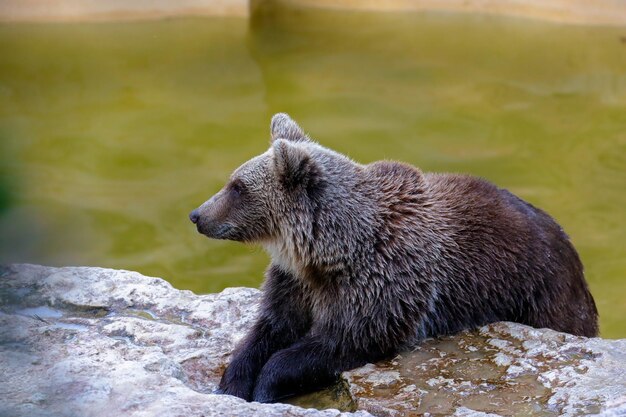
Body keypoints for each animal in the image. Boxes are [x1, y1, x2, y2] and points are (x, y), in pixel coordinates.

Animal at [188, 113, 596, 404]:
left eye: (237, 187)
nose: (197, 215)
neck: (330, 250)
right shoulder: (295, 281)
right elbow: (270, 327)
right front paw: (233, 381)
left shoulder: (383, 282)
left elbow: (342, 340)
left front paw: (267, 385)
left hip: (541, 294)